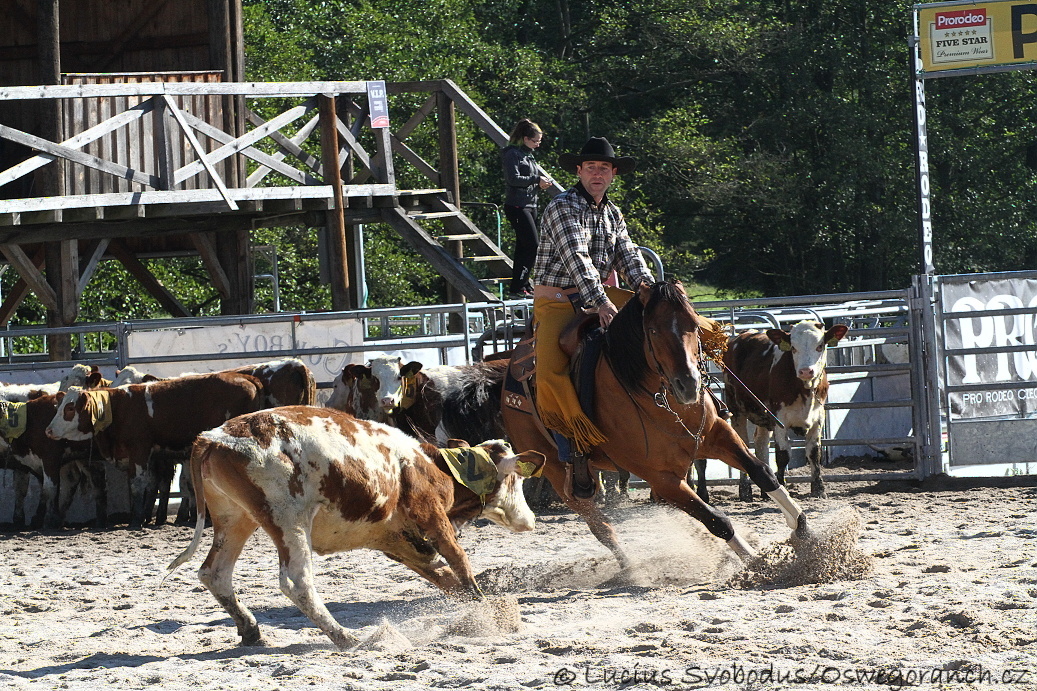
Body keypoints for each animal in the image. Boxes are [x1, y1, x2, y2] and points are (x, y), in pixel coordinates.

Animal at [45, 371, 265, 527]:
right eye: (60, 406)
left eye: (70, 408)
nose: (48, 430)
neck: (118, 408)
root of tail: (249, 379)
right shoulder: (150, 456)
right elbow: (151, 485)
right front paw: (145, 516)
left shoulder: (139, 449)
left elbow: (137, 483)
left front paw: (135, 521)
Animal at [165, 404, 547, 647]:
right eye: (517, 479)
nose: (529, 520)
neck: (430, 466)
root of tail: (212, 438)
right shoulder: (432, 518)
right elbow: (459, 562)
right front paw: (489, 612)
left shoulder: (400, 541)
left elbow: (443, 577)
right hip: (287, 519)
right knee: (296, 582)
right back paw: (346, 638)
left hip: (236, 518)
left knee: (215, 573)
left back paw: (250, 629)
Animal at [499, 280, 808, 564]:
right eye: (653, 331)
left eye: (694, 324)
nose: (688, 385)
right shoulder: (661, 477)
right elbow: (716, 519)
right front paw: (756, 562)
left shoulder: (717, 435)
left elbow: (762, 472)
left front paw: (802, 530)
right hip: (558, 473)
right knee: (602, 527)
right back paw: (629, 568)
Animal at [713, 319, 850, 498]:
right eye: (793, 347)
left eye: (820, 346)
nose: (806, 371)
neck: (804, 389)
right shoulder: (780, 419)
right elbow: (783, 455)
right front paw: (782, 485)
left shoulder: (818, 418)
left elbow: (814, 453)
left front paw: (818, 489)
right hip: (736, 409)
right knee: (743, 443)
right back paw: (745, 490)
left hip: (763, 415)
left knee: (761, 443)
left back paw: (765, 491)